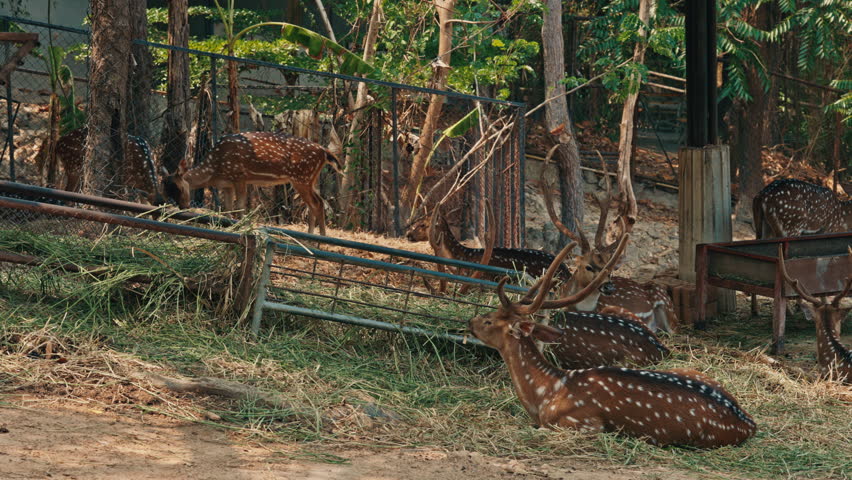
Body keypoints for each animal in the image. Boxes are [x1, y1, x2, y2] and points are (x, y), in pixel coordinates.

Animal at [162, 131, 343, 235]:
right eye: (166, 189)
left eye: (179, 187)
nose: (183, 207)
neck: (215, 169)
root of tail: (325, 152)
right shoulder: (227, 184)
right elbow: (228, 209)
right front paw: (228, 227)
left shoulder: (239, 176)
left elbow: (240, 206)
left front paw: (241, 227)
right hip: (310, 179)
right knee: (316, 202)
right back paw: (311, 236)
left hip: (301, 177)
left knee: (317, 203)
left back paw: (317, 240)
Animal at [751, 178, 852, 315]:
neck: (842, 219)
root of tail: (761, 196)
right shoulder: (827, 230)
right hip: (790, 226)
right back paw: (788, 311)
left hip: (763, 227)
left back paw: (755, 310)